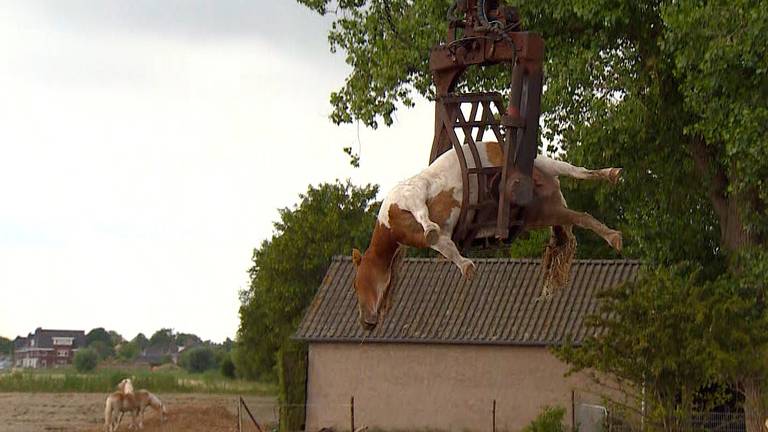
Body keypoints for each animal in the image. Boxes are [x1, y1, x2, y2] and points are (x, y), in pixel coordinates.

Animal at [354, 140, 624, 330]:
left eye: (358, 283)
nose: (365, 322)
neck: (391, 224)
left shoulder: (411, 196)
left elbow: (428, 223)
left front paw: (463, 263)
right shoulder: (434, 235)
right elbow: (444, 245)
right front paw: (466, 267)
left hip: (543, 165)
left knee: (577, 171)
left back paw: (611, 173)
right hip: (545, 213)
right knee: (582, 217)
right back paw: (614, 237)